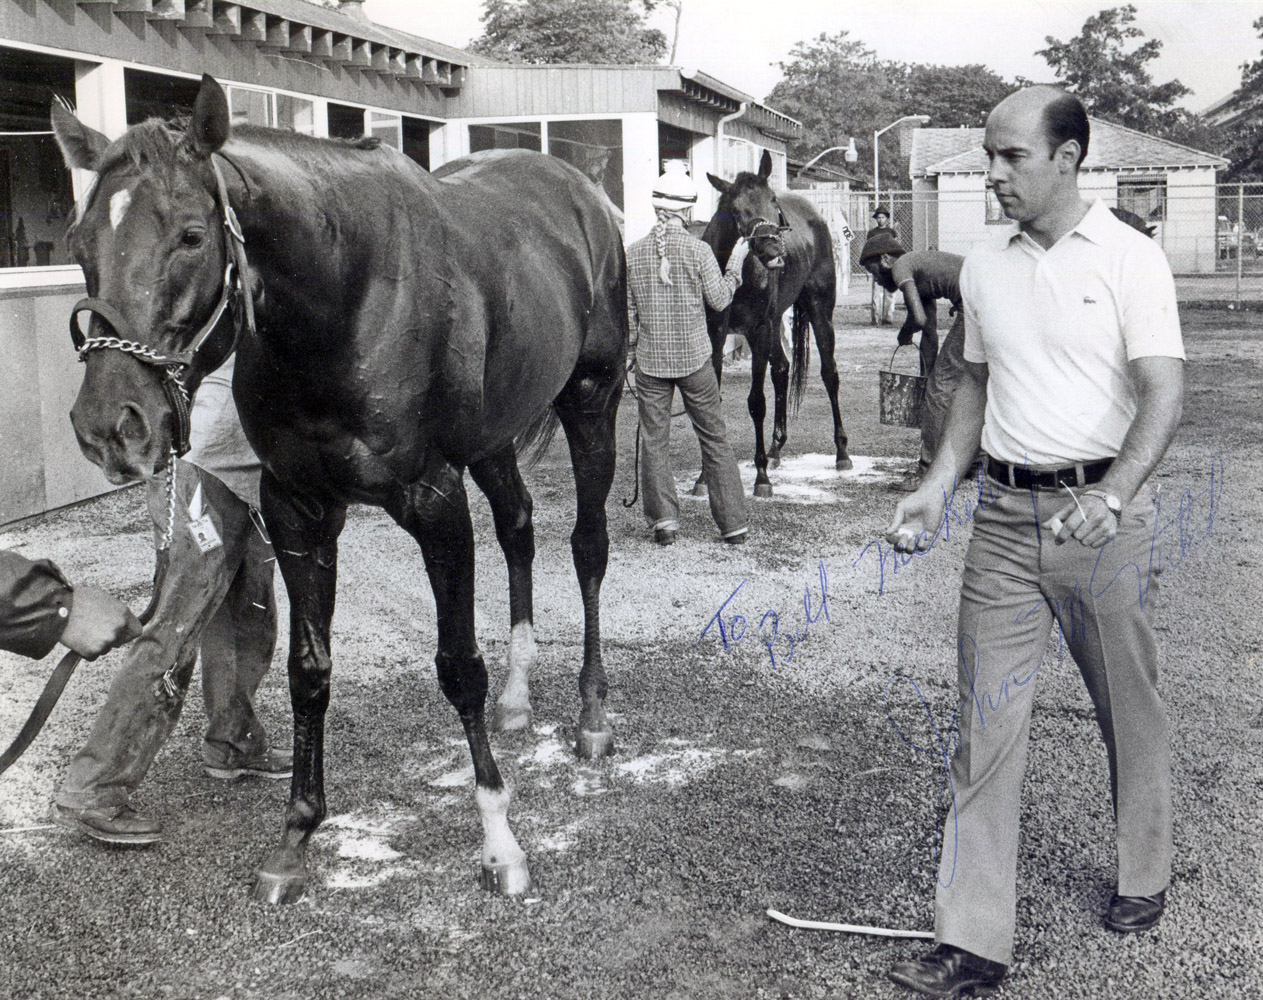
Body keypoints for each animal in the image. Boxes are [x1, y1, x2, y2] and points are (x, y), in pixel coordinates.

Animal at [54, 76, 626, 904]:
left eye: (191, 235)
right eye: (79, 243)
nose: (110, 425)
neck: (347, 301)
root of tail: (583, 195)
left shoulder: (435, 504)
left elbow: (459, 666)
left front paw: (499, 841)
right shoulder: (298, 511)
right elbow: (308, 672)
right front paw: (294, 840)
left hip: (591, 401)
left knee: (586, 547)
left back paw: (590, 716)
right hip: (493, 437)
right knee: (519, 527)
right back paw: (521, 699)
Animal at [697, 150, 853, 494]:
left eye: (772, 201)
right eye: (736, 209)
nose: (773, 249)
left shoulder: (758, 330)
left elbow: (757, 401)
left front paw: (761, 478)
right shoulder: (716, 333)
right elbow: (710, 402)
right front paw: (704, 477)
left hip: (818, 313)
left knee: (829, 374)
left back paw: (842, 453)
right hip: (775, 323)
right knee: (782, 369)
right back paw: (775, 447)